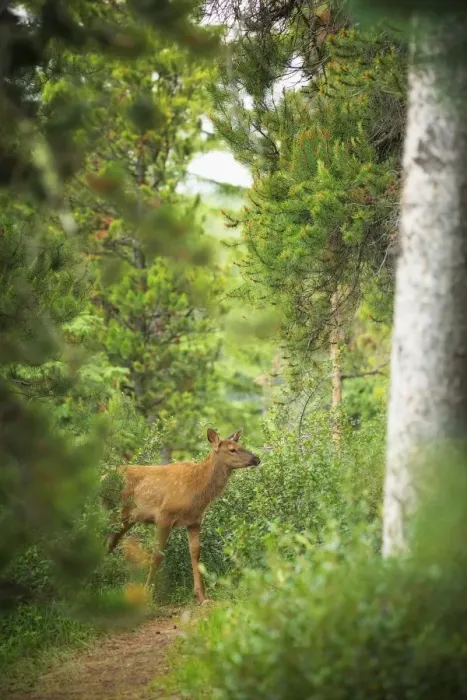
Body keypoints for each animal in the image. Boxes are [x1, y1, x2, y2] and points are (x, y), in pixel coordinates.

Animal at [102, 428, 261, 604]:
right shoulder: (164, 516)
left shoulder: (194, 521)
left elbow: (195, 553)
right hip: (110, 511)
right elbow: (157, 555)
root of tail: (101, 478)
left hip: (125, 520)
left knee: (108, 543)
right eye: (232, 449)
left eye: (241, 445)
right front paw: (146, 592)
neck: (198, 491)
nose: (256, 458)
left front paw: (201, 596)